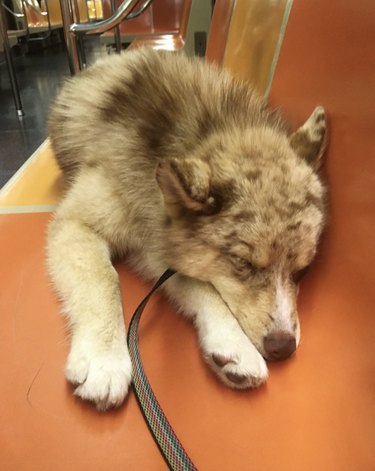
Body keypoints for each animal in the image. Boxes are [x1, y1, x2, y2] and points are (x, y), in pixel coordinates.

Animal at [47, 47, 328, 410]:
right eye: (244, 263)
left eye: (303, 271)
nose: (283, 348)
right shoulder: (78, 223)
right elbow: (104, 280)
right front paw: (104, 358)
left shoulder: (160, 247)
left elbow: (200, 284)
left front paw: (231, 343)